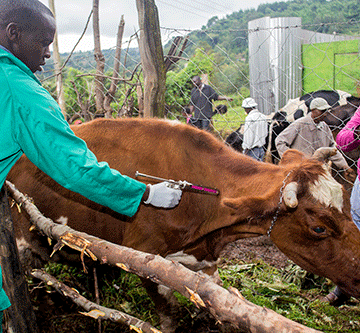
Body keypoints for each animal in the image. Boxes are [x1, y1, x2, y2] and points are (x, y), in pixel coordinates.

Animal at [6, 116, 360, 330]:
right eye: (319, 228)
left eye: (346, 201)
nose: (359, 274)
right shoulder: (145, 257)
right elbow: (170, 316)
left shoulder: (206, 263)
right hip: (22, 239)